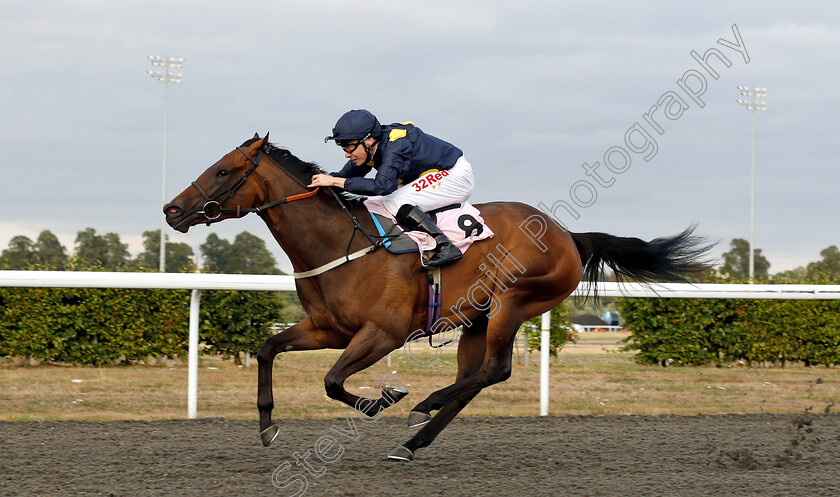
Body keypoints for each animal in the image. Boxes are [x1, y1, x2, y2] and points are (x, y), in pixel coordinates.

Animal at [162, 133, 708, 462]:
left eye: (223, 171)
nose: (172, 210)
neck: (341, 243)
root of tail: (567, 235)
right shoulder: (327, 328)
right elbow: (267, 349)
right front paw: (267, 425)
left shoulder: (381, 334)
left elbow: (334, 381)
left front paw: (382, 398)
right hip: (477, 320)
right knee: (473, 379)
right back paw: (414, 438)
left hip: (515, 303)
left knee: (493, 371)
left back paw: (421, 406)